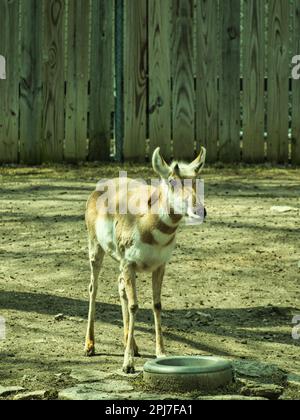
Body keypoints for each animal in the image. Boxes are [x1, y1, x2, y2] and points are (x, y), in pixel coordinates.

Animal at [84, 146, 206, 372]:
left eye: (196, 180)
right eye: (172, 181)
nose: (199, 210)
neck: (146, 222)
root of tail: (101, 187)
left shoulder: (159, 266)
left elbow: (157, 304)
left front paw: (161, 353)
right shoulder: (129, 264)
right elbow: (134, 306)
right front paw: (127, 364)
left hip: (120, 264)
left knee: (120, 287)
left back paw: (132, 345)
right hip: (96, 250)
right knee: (93, 288)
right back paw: (90, 346)